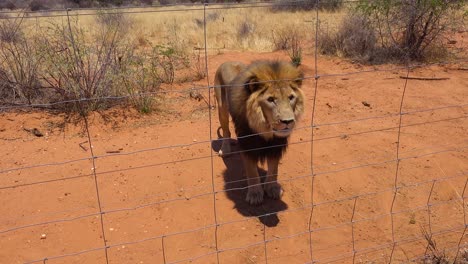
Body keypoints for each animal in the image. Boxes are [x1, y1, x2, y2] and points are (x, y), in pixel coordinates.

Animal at [215, 60, 306, 205]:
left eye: (291, 97)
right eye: (270, 99)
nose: (288, 121)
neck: (264, 128)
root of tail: (227, 61)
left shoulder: (276, 145)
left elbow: (274, 169)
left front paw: (272, 188)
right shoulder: (248, 143)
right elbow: (252, 171)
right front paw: (255, 193)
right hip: (221, 108)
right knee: (225, 130)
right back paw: (226, 149)